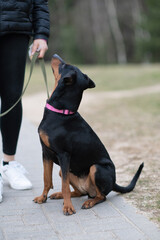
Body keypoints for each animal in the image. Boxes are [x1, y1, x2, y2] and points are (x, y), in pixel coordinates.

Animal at [34, 54, 144, 216]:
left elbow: (64, 186)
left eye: (64, 65)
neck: (61, 112)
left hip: (96, 168)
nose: (54, 55)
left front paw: (68, 207)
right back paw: (60, 195)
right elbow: (46, 180)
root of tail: (113, 182)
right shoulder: (46, 153)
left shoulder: (64, 155)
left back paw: (89, 202)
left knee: (101, 196)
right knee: (79, 192)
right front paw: (42, 198)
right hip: (64, 171)